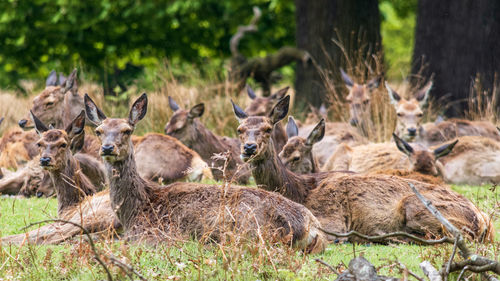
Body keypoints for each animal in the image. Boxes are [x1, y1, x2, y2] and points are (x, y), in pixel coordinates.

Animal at [81, 92, 326, 252]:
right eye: (99, 131)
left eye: (127, 130)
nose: (107, 148)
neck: (136, 209)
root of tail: (311, 228)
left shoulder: (153, 236)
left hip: (248, 230)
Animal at [232, 93, 494, 241]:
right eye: (239, 129)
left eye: (267, 128)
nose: (249, 148)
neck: (298, 191)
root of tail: (484, 221)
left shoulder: (332, 220)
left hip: (416, 205)